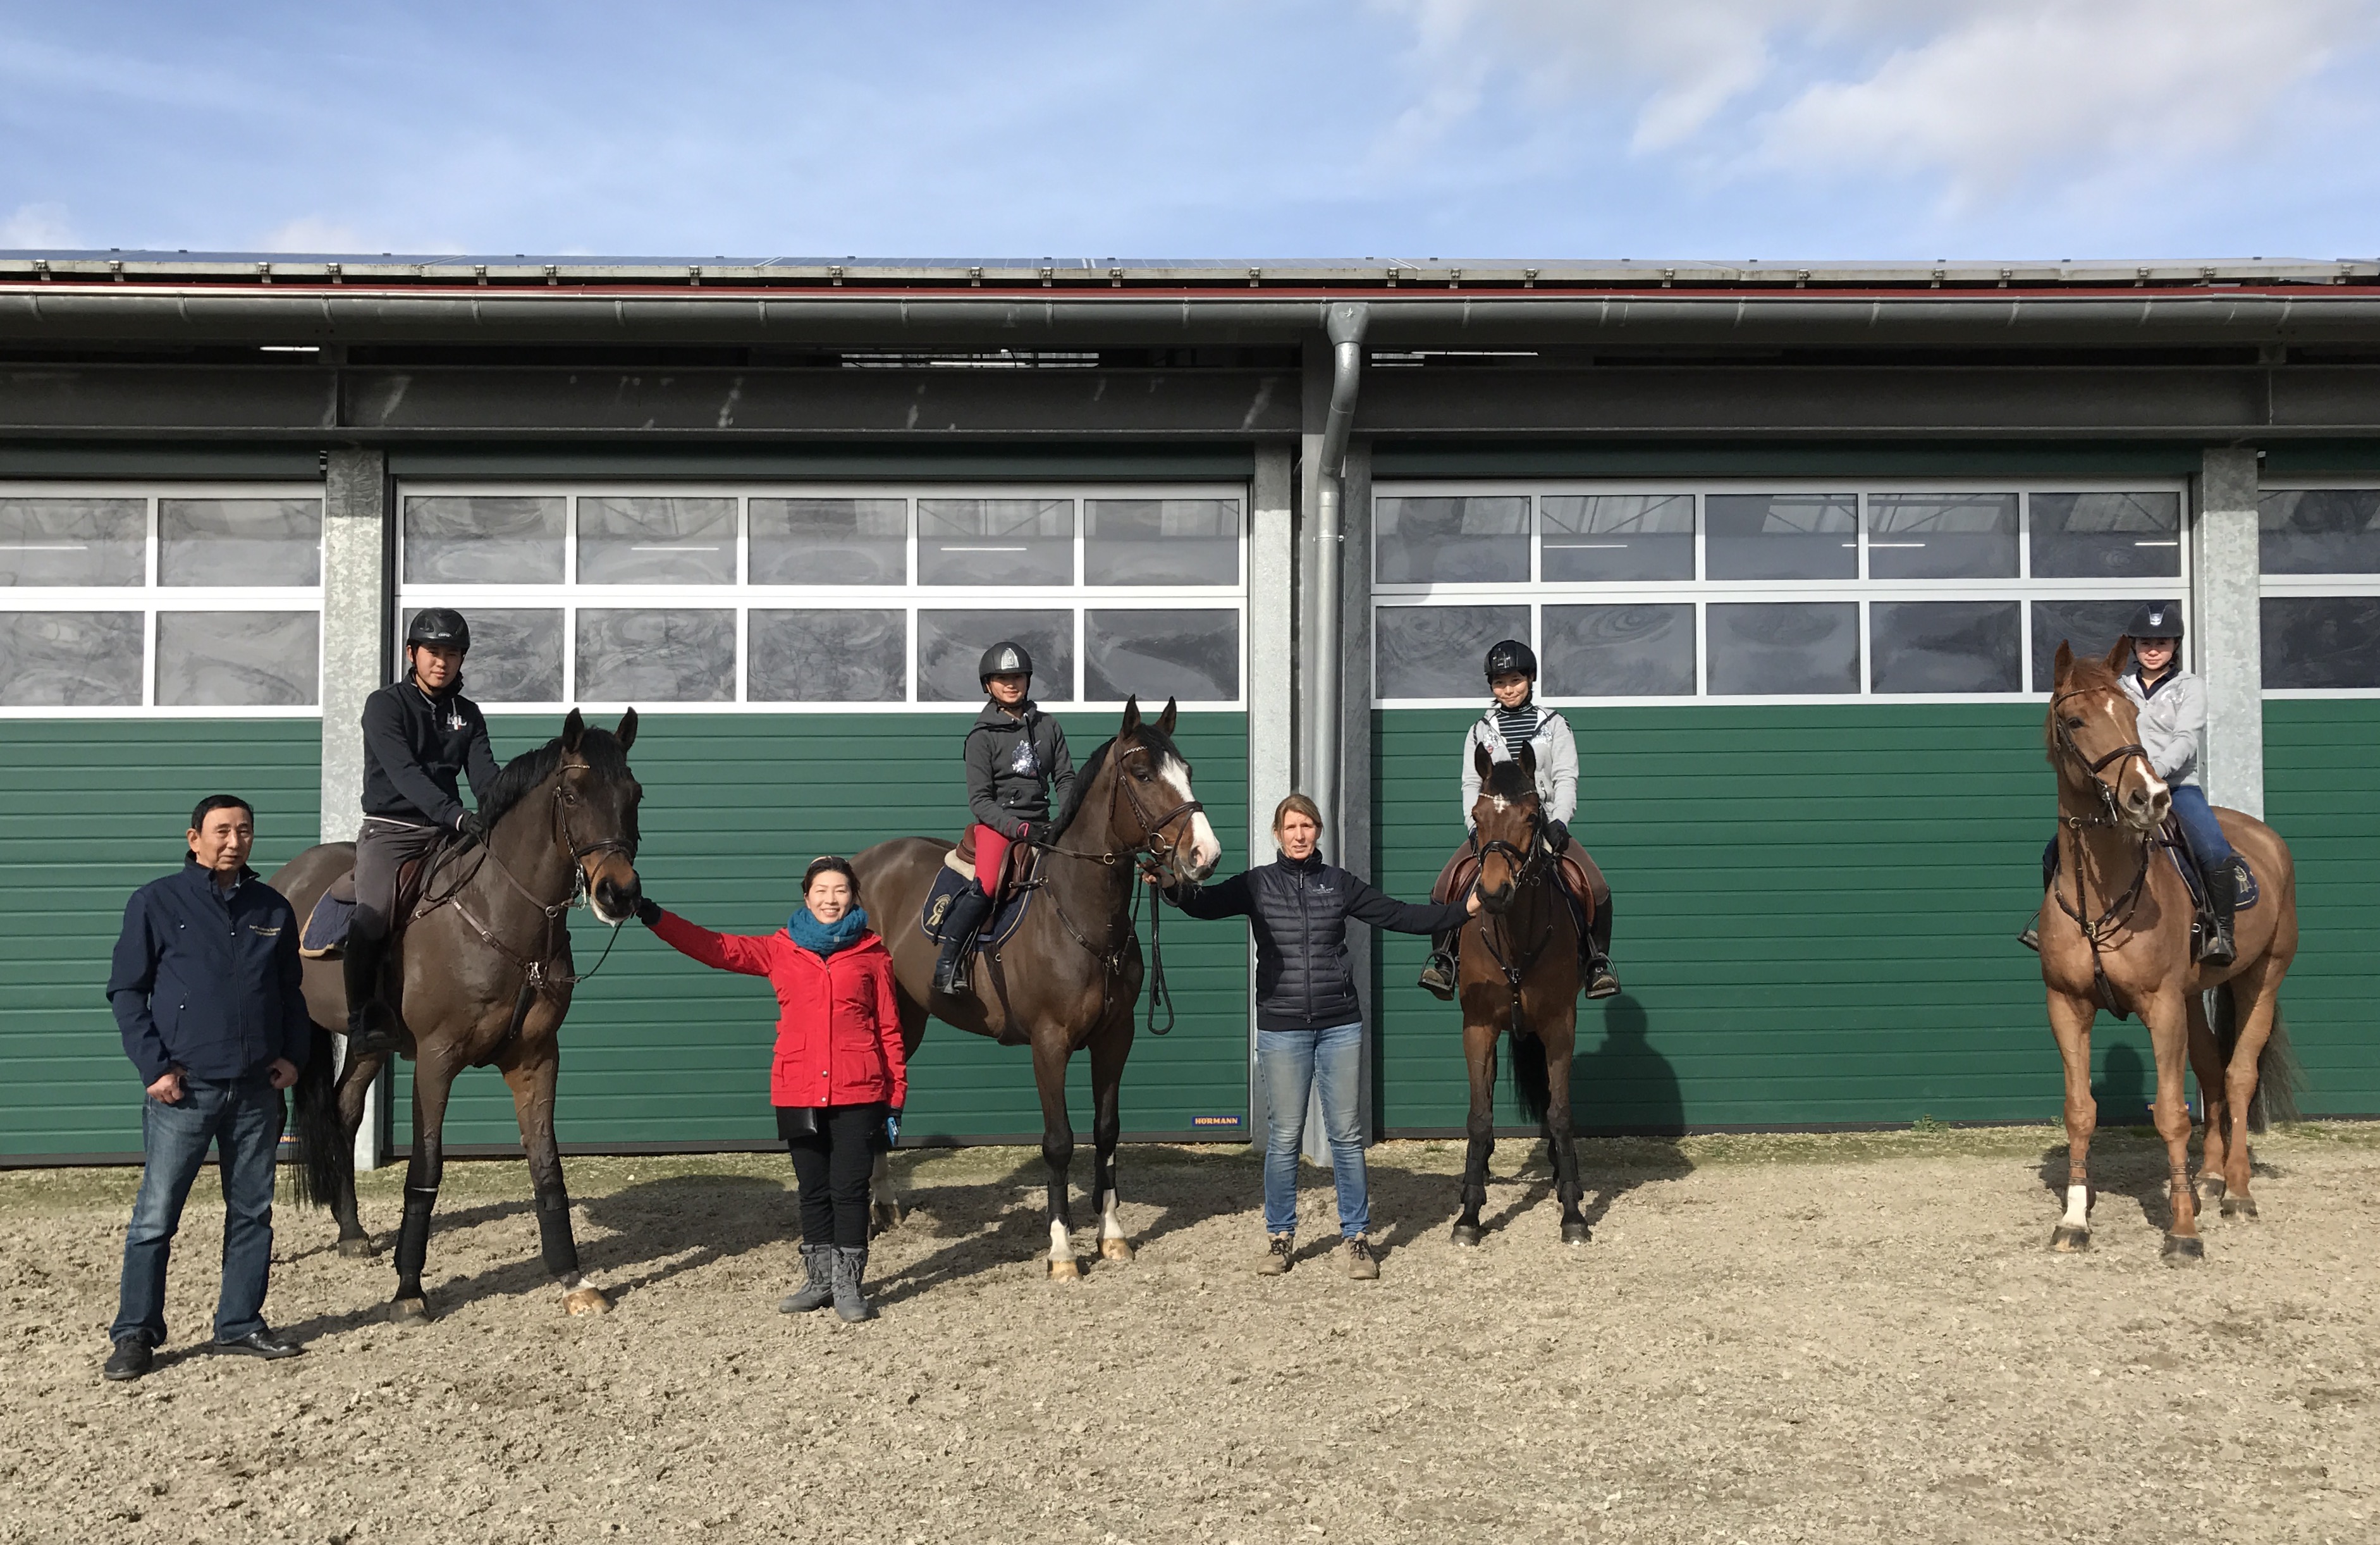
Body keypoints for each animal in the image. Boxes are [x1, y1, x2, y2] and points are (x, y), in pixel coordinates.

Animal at [272, 709, 642, 1314]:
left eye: (634, 794)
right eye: (571, 793)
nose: (619, 893)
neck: (500, 916)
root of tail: (290, 875)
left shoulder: (537, 1059)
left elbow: (547, 1168)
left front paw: (573, 1279)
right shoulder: (435, 1060)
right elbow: (425, 1169)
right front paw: (408, 1289)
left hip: (370, 1043)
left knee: (344, 1109)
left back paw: (351, 1231)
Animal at [847, 699, 1218, 1276]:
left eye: (1188, 771)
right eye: (1141, 773)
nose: (1205, 854)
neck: (1081, 913)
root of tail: (863, 862)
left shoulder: (1116, 1038)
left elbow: (1107, 1130)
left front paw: (1112, 1235)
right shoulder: (1050, 1043)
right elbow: (1059, 1142)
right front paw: (1062, 1250)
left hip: (906, 1017)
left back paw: (884, 1203)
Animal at [1437, 742, 1590, 1247]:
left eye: (1532, 815)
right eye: (1477, 815)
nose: (1492, 893)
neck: (1516, 938)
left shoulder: (1560, 1025)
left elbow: (1560, 1113)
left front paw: (1573, 1211)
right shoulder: (1479, 1026)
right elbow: (1479, 1116)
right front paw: (1468, 1214)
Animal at [2037, 643, 2294, 1257]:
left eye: (2133, 716)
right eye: (2075, 720)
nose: (2149, 797)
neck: (2102, 889)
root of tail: (2267, 840)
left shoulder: (2160, 1005)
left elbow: (2174, 1114)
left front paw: (2182, 1231)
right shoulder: (2067, 1005)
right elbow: (2080, 1111)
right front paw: (2074, 1221)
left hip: (2262, 980)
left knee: (2238, 1076)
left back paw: (2237, 1193)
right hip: (2193, 1000)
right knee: (2213, 1073)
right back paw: (2211, 1177)